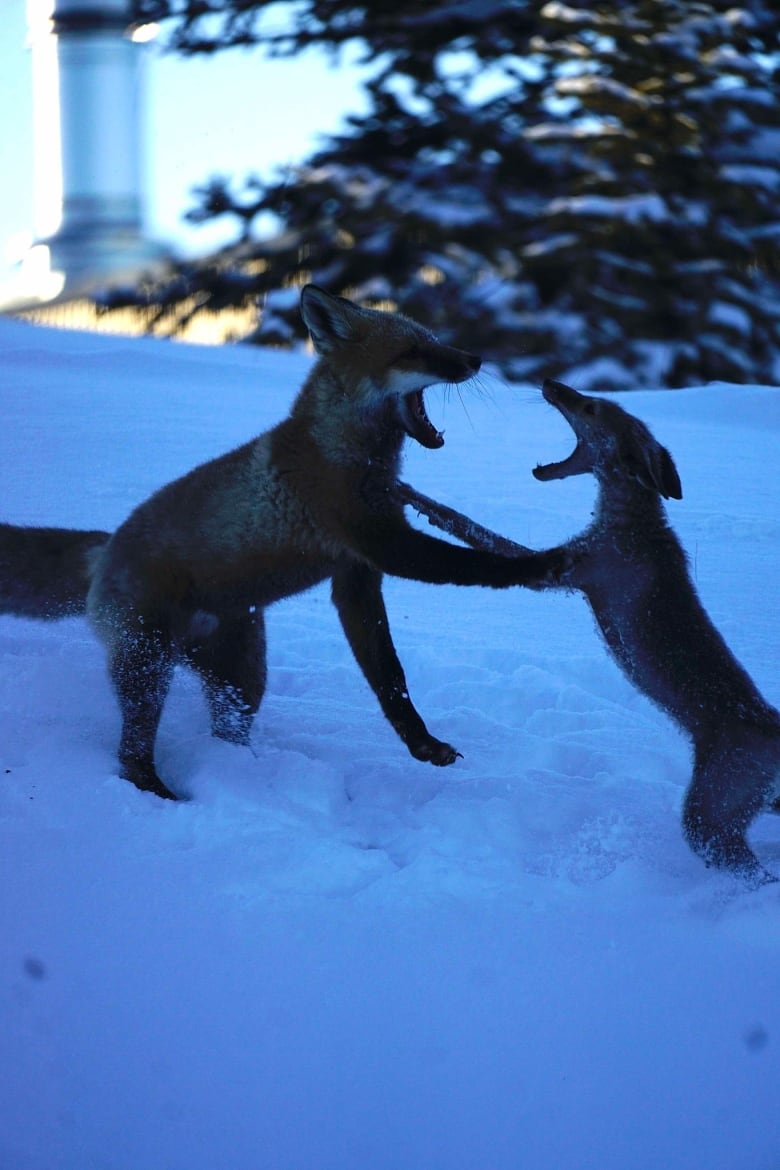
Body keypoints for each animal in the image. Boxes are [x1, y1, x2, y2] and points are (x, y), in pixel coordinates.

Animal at [0, 284, 561, 800]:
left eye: (435, 339)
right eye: (413, 351)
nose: (475, 359)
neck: (345, 452)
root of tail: (105, 548)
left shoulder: (356, 576)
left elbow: (390, 677)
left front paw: (422, 745)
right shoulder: (378, 539)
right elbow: (470, 565)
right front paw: (540, 565)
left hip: (242, 676)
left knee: (228, 729)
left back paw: (243, 774)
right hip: (149, 665)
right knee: (130, 752)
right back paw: (159, 791)